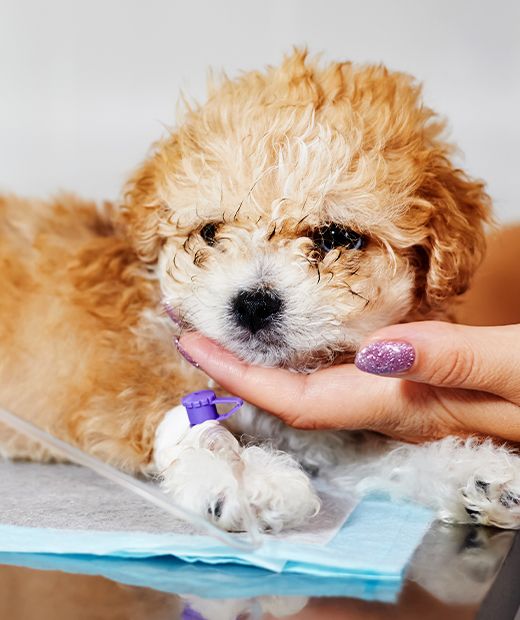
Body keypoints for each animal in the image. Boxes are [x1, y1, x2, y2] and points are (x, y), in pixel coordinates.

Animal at [1, 50, 520, 532]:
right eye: (210, 232)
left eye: (335, 237)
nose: (253, 303)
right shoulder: (124, 392)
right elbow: (182, 418)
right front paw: (240, 474)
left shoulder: (329, 435)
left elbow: (388, 453)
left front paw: (479, 472)